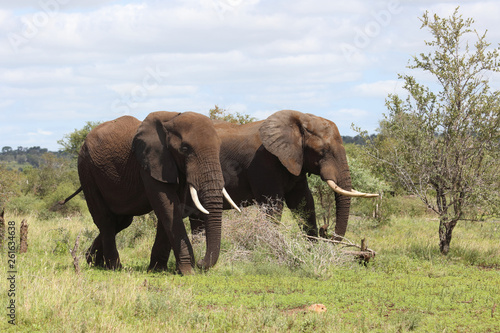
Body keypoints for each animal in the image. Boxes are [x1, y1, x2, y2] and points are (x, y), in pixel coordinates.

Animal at [73, 110, 240, 274]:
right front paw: (187, 271)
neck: (172, 118)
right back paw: (114, 267)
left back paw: (93, 262)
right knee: (106, 219)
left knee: (121, 221)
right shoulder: (150, 163)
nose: (200, 263)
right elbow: (168, 208)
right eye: (185, 149)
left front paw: (158, 270)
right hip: (87, 171)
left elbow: (172, 209)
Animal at [189, 110, 376, 240]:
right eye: (322, 151)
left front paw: (313, 251)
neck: (300, 119)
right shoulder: (263, 163)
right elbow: (274, 206)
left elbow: (304, 202)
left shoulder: (296, 161)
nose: (325, 231)